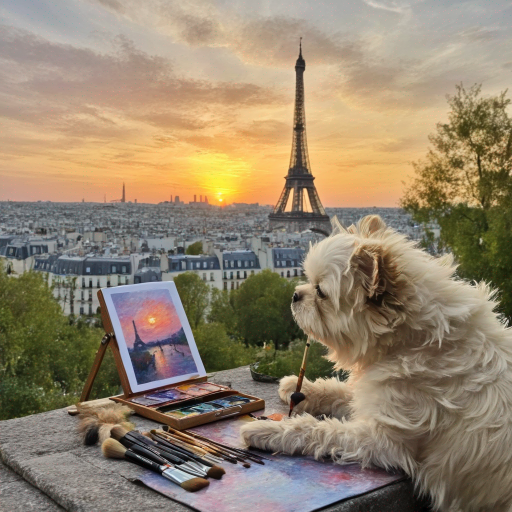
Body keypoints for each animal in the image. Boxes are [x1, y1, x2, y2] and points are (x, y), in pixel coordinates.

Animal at [241, 215, 512, 512]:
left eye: (321, 292)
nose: (294, 295)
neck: (413, 342)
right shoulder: (374, 391)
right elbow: (339, 391)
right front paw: (300, 388)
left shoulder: (383, 441)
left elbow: (318, 430)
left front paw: (269, 429)